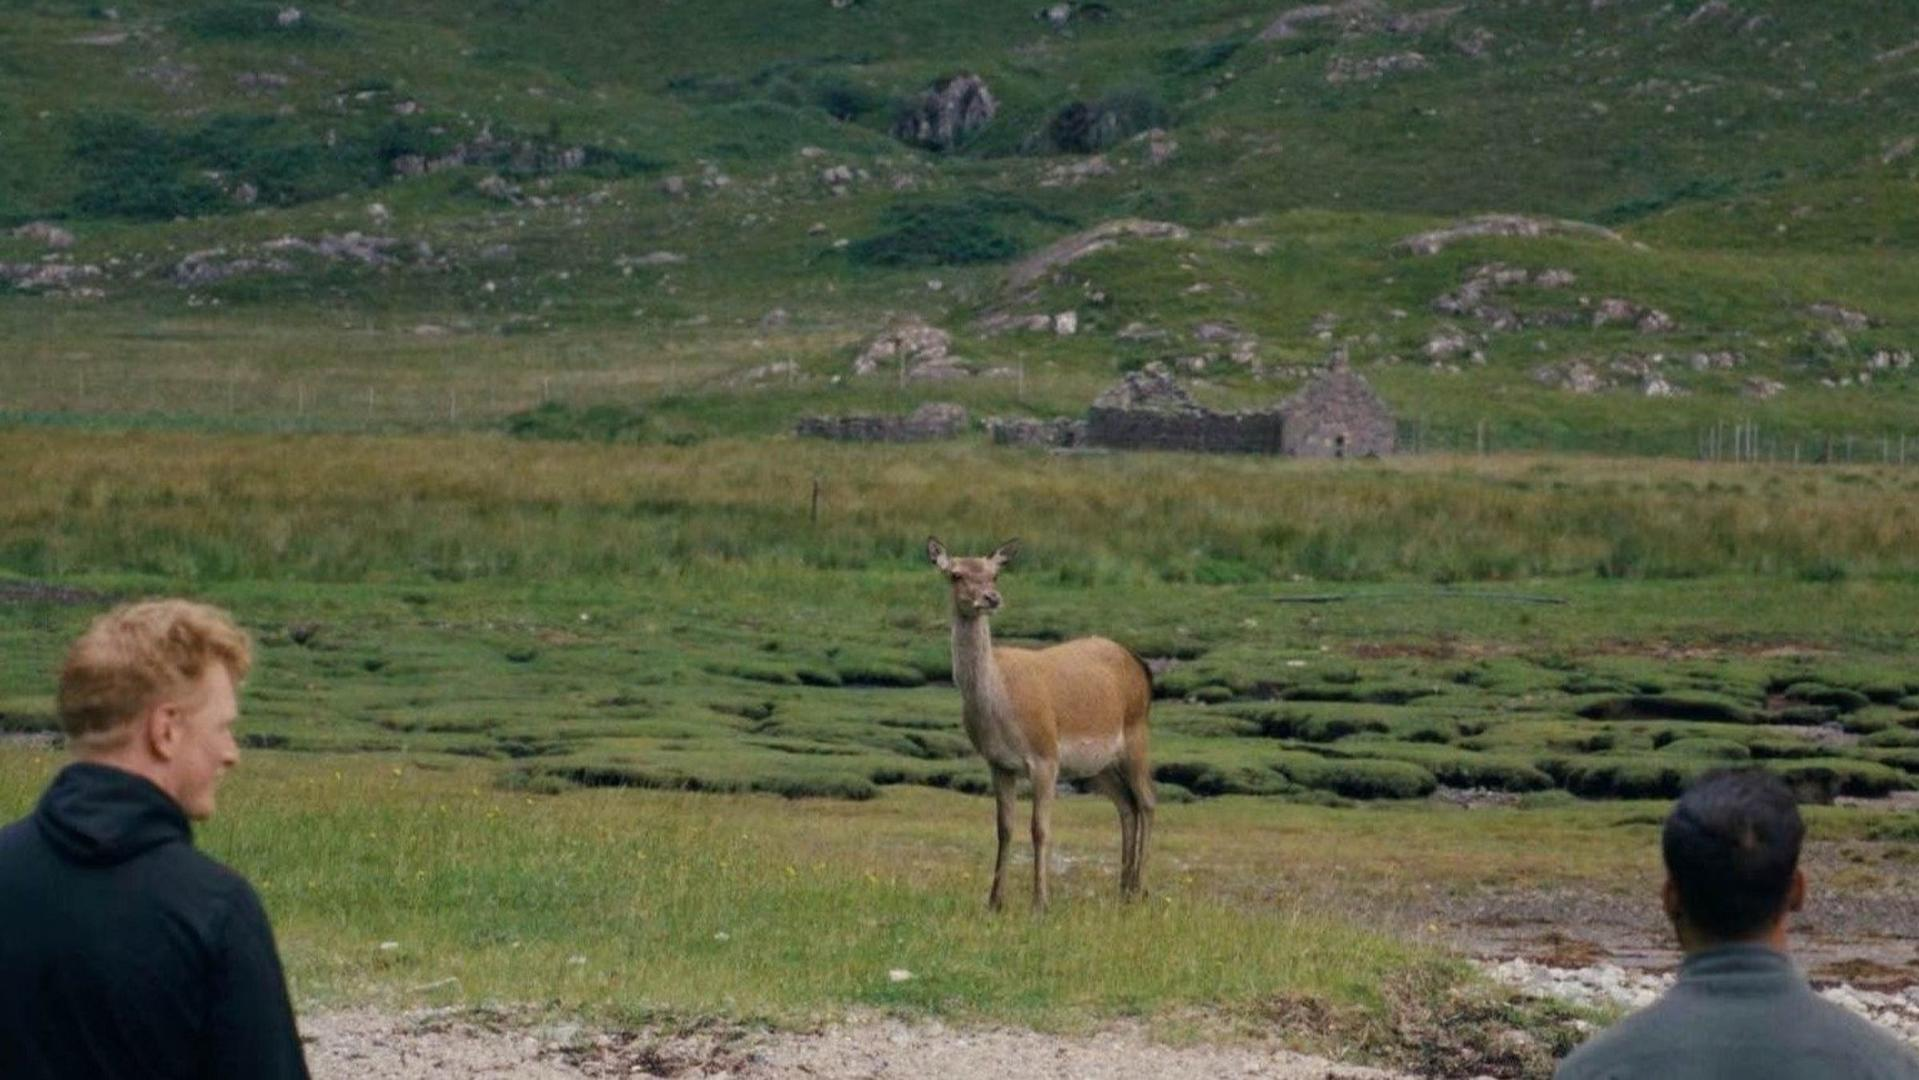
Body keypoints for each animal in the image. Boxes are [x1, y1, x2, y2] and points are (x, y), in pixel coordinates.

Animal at [926, 537, 1155, 911]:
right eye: (956, 574)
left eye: (995, 574)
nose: (991, 598)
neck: (999, 706)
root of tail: (1141, 665)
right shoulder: (998, 763)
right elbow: (1004, 828)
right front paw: (994, 902)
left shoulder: (1045, 756)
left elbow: (1039, 829)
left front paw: (1040, 903)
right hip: (1096, 764)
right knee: (1127, 805)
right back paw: (1124, 888)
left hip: (1137, 734)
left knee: (1148, 801)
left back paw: (1141, 887)